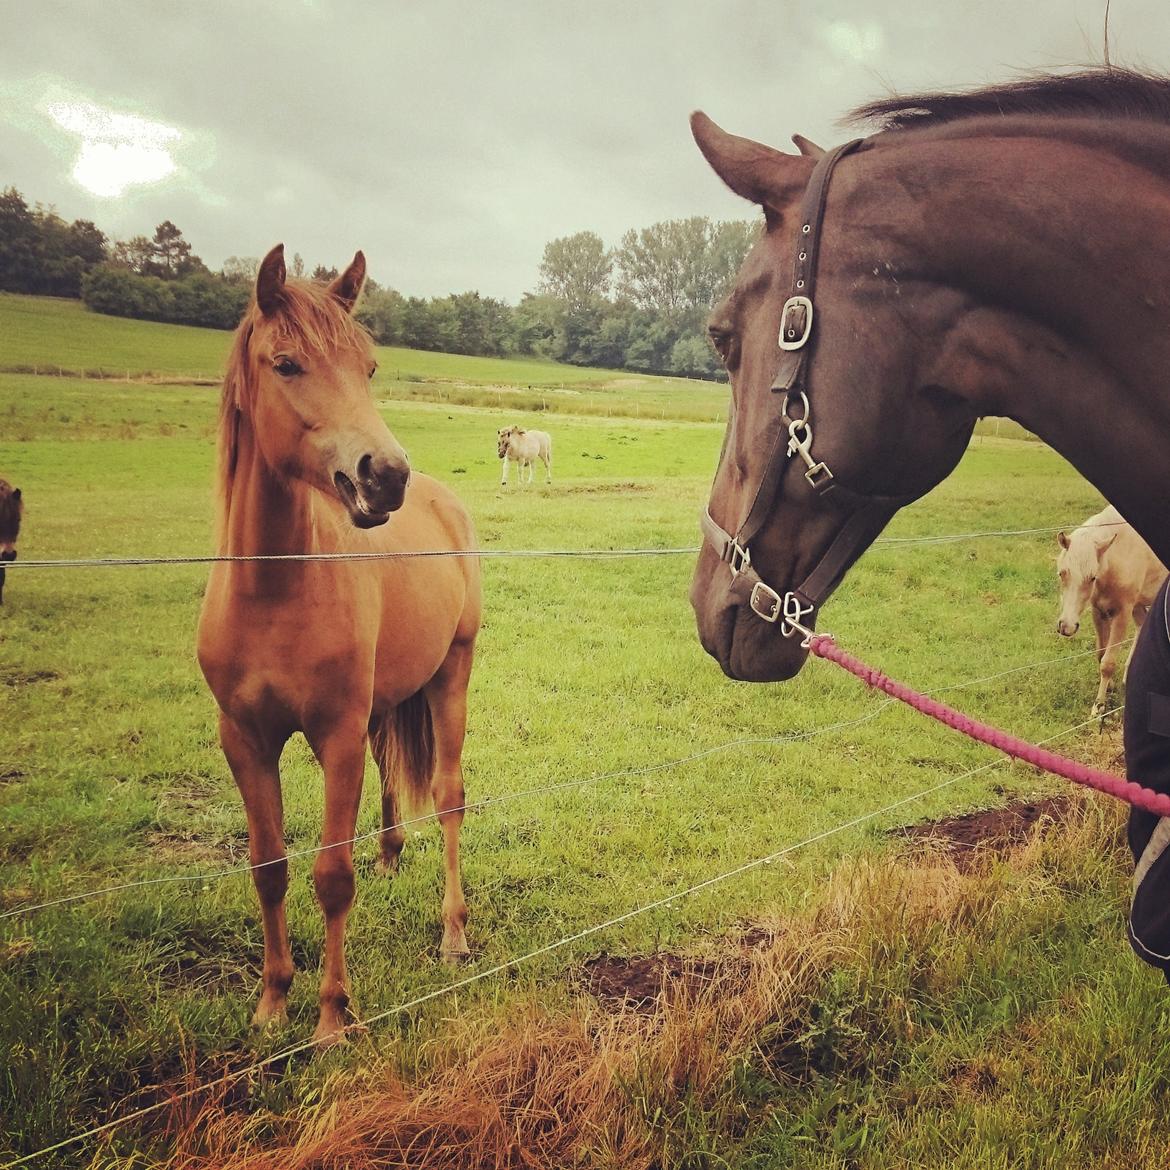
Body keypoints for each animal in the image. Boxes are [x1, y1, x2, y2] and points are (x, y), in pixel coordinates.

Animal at [1057, 500, 1165, 711]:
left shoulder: (1122, 613)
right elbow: (1101, 654)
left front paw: (1099, 706)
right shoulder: (1099, 611)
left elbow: (1108, 663)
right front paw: (1110, 688)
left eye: (1092, 577)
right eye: (1062, 573)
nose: (1067, 627)